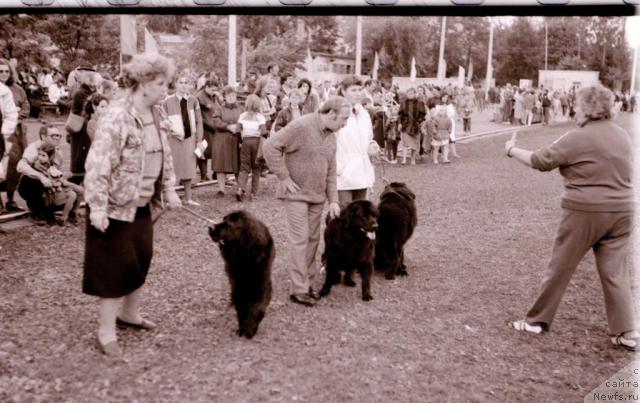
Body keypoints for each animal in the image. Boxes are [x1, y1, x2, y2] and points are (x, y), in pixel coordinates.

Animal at [208, 210, 272, 340]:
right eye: (223, 219)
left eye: (230, 223)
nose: (210, 227)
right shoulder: (238, 285)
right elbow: (242, 306)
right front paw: (242, 328)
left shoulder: (262, 283)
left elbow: (257, 307)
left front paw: (250, 329)